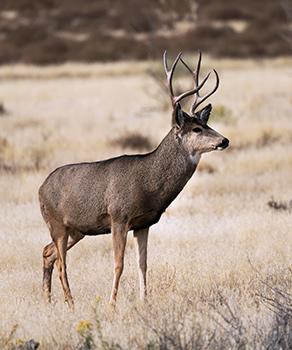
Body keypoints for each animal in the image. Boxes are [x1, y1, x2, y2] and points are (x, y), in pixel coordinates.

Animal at [38, 50, 229, 308]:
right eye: (196, 129)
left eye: (206, 123)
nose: (224, 140)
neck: (148, 183)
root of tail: (40, 188)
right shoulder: (119, 216)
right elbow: (119, 264)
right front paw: (111, 305)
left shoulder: (144, 223)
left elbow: (143, 264)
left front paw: (144, 302)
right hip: (56, 222)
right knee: (61, 262)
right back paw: (71, 303)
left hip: (77, 229)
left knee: (48, 253)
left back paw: (48, 302)